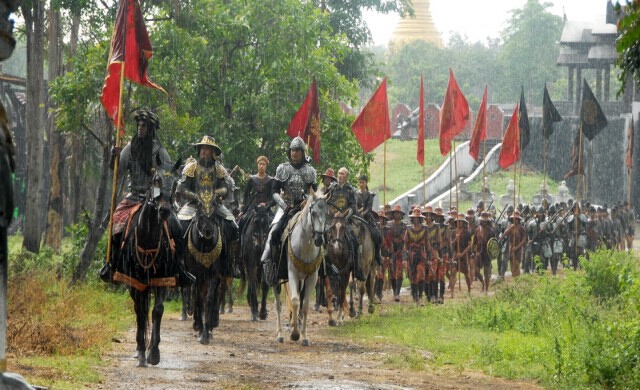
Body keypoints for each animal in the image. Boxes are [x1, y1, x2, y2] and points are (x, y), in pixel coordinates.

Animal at [117, 169, 181, 368]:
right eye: (156, 181)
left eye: (175, 183)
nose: (164, 210)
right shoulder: (135, 281)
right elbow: (140, 310)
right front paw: (141, 352)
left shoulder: (163, 279)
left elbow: (157, 310)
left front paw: (153, 353)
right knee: (140, 309)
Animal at [272, 190, 328, 346]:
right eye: (313, 213)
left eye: (327, 213)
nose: (319, 240)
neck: (305, 245)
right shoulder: (292, 274)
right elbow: (295, 301)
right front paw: (295, 334)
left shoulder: (312, 277)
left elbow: (305, 305)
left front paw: (304, 336)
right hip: (276, 279)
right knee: (278, 304)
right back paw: (280, 334)